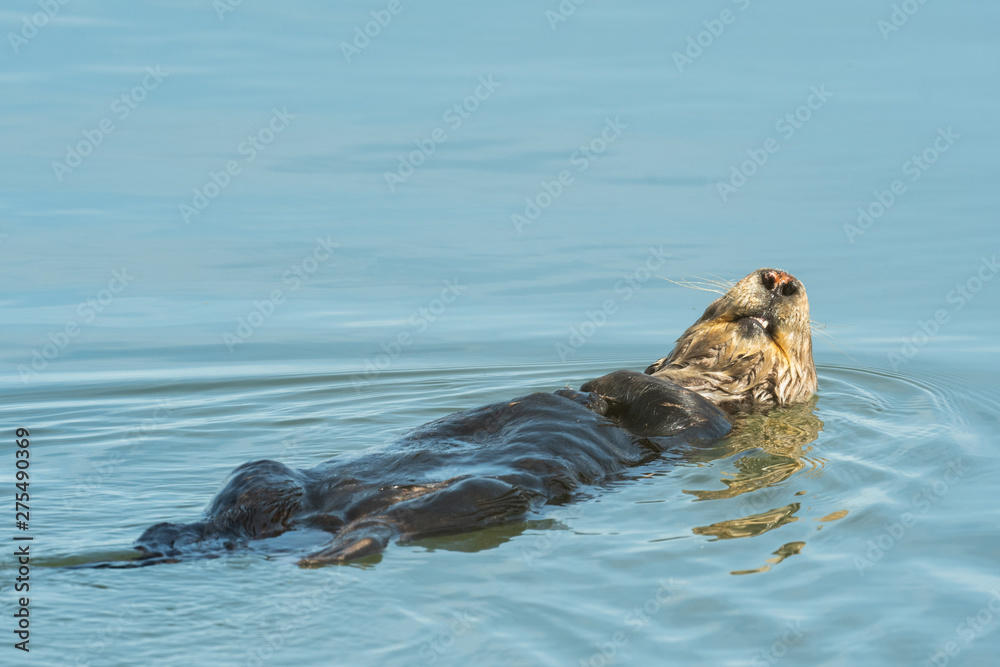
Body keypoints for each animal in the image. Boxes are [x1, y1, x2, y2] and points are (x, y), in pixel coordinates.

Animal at [132, 267, 815, 567]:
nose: (780, 278)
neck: (710, 384)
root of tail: (313, 524)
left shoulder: (703, 426)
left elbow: (669, 407)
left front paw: (601, 385)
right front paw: (589, 386)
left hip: (481, 496)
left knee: (390, 528)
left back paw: (333, 550)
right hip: (267, 477)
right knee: (236, 509)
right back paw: (162, 536)